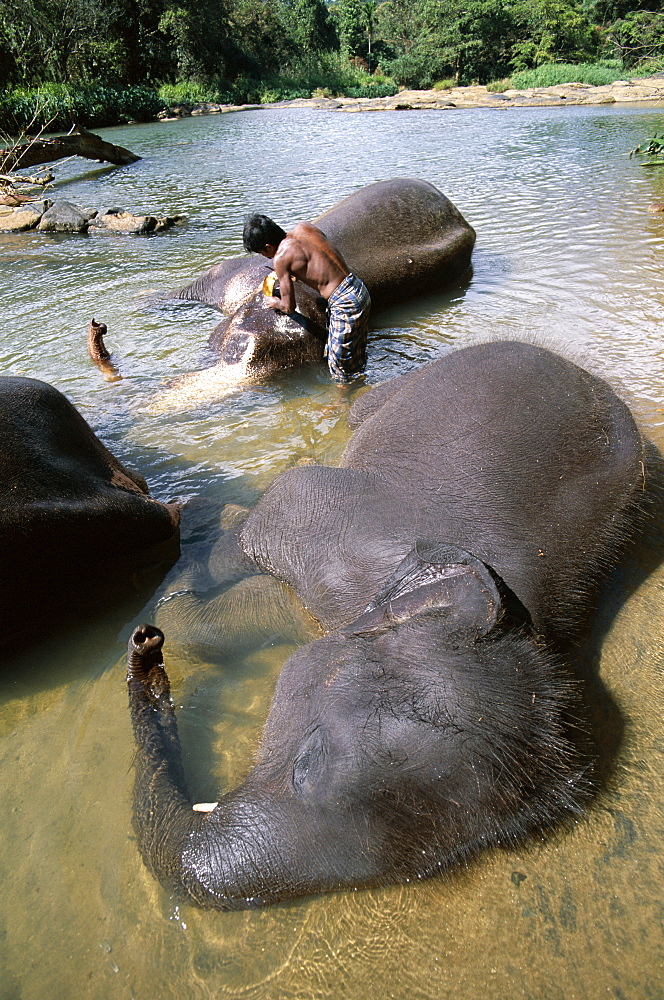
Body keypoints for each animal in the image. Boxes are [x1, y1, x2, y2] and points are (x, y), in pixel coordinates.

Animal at [123, 340, 644, 912]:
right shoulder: (323, 517)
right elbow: (266, 513)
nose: (145, 647)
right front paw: (196, 538)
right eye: (309, 761)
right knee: (355, 416)